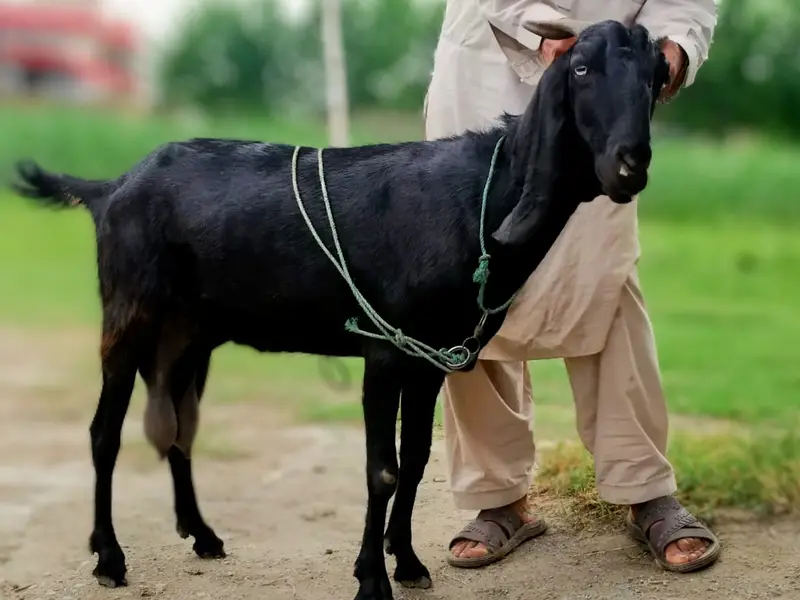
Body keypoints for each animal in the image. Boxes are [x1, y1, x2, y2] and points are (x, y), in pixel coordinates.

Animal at [11, 19, 669, 600]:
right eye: (580, 69)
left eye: (657, 75)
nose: (629, 165)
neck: (481, 197)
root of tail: (110, 188)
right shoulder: (384, 351)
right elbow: (383, 469)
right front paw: (372, 580)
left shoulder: (431, 357)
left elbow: (416, 460)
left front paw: (408, 563)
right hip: (129, 312)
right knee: (104, 432)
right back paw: (109, 558)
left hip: (190, 334)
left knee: (179, 425)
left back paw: (202, 535)